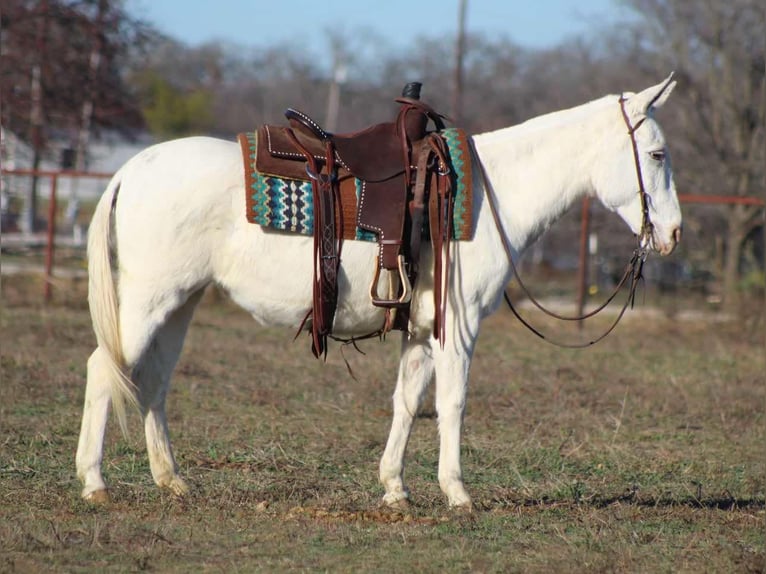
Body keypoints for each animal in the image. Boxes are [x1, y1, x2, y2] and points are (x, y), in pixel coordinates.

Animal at [76, 76, 682, 509]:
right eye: (656, 155)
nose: (673, 233)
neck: (492, 193)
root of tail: (133, 168)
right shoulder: (458, 328)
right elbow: (452, 402)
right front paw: (457, 493)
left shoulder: (420, 331)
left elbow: (407, 402)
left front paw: (396, 488)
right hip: (148, 302)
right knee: (105, 368)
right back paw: (95, 482)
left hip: (180, 303)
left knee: (153, 379)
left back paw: (171, 480)